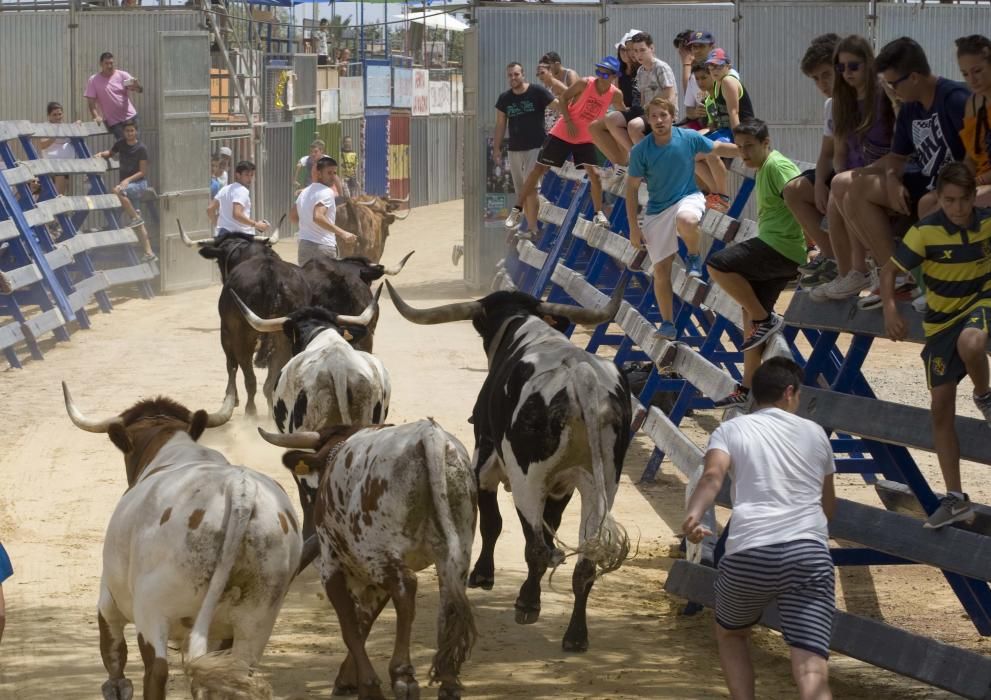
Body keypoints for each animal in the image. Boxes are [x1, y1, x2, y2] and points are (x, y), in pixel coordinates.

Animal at [62, 382, 302, 700]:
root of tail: (239, 490)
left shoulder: (109, 602)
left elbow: (114, 661)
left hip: (153, 613)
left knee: (157, 672)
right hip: (258, 618)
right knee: (236, 674)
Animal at [260, 418, 476, 700]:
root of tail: (429, 435)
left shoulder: (332, 566)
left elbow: (350, 627)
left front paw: (368, 685)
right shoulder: (374, 576)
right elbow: (364, 621)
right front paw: (349, 679)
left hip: (378, 553)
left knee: (406, 588)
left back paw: (403, 675)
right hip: (454, 553)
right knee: (449, 601)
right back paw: (448, 678)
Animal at [384, 278, 632, 652]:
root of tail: (581, 378)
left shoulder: (484, 464)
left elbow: (492, 523)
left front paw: (483, 574)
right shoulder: (562, 487)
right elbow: (550, 522)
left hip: (528, 480)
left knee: (537, 547)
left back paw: (528, 604)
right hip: (601, 486)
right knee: (586, 561)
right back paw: (576, 635)